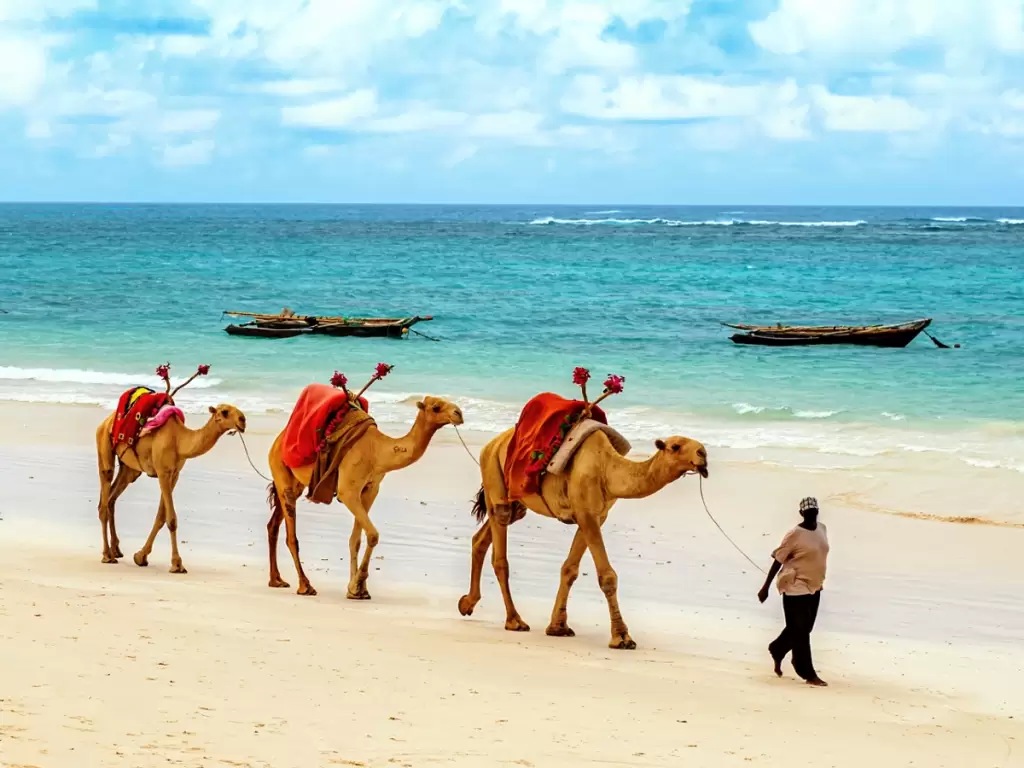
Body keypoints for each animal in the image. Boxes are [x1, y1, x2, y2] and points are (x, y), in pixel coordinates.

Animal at [266, 394, 464, 599]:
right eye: (436, 407)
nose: (459, 413)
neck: (377, 451)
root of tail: (278, 441)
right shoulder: (348, 491)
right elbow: (373, 535)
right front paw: (357, 584)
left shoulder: (370, 490)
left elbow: (356, 540)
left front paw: (356, 590)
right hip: (281, 471)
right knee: (291, 536)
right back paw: (305, 586)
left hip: (296, 483)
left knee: (274, 524)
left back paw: (276, 580)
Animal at [459, 414, 708, 650]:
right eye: (675, 446)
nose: (703, 454)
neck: (607, 469)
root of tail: (492, 444)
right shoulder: (587, 515)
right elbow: (607, 576)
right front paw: (622, 637)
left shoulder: (594, 516)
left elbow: (569, 569)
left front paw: (557, 627)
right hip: (493, 475)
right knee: (500, 550)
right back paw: (514, 620)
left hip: (517, 502)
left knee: (483, 537)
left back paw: (467, 603)